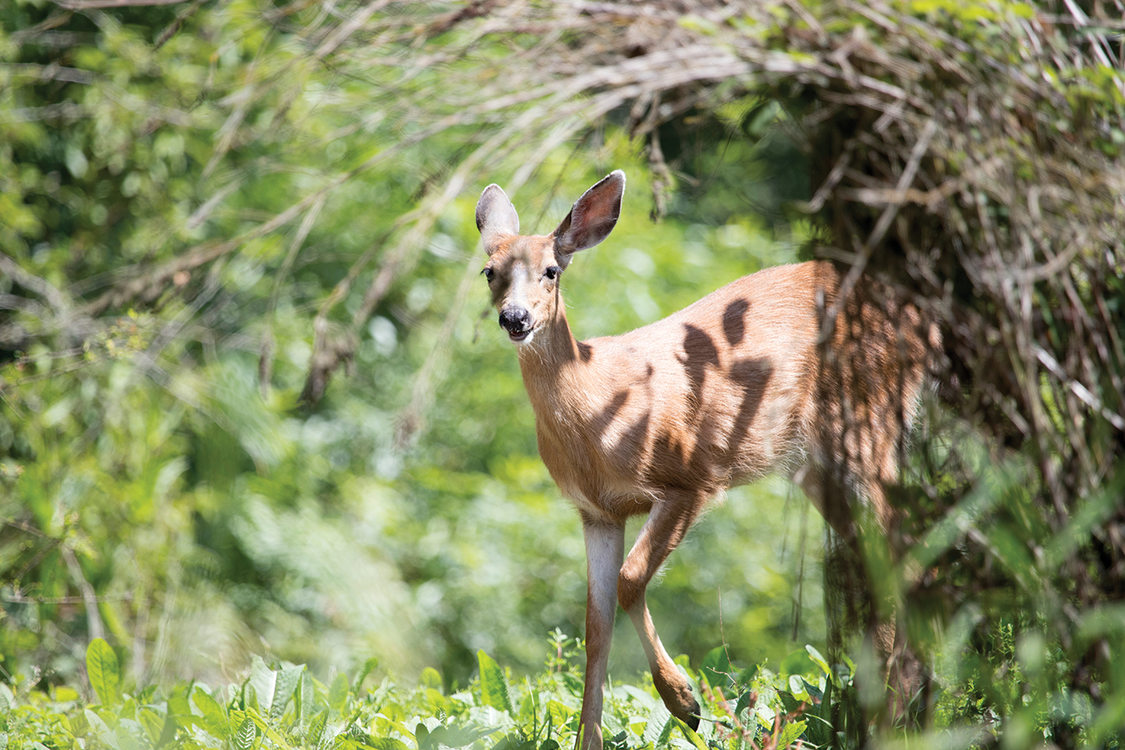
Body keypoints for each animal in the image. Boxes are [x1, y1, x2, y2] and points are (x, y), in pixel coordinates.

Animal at [472, 172, 931, 750]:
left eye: (552, 270)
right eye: (489, 271)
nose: (515, 317)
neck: (596, 408)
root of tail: (921, 320)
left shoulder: (689, 476)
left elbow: (629, 580)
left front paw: (686, 702)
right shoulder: (597, 512)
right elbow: (595, 625)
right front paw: (590, 739)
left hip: (871, 429)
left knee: (903, 553)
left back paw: (895, 713)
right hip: (815, 466)